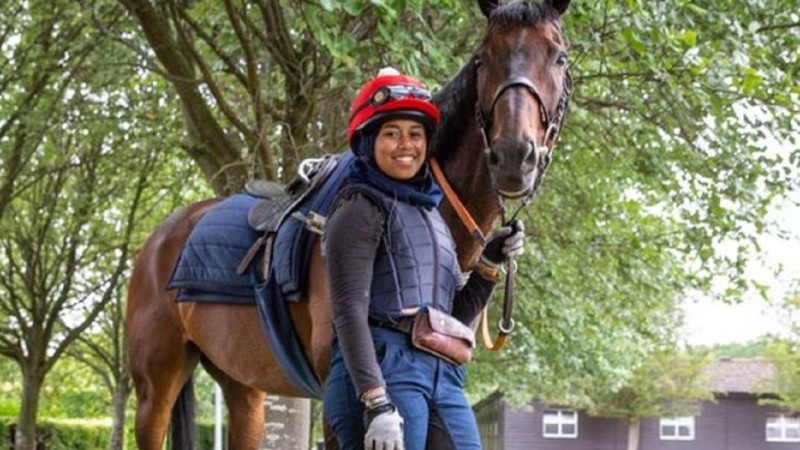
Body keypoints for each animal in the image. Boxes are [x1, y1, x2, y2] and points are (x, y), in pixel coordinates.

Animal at [128, 1, 572, 448]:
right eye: (483, 59)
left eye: (559, 57)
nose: (513, 156)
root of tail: (162, 238)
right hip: (155, 387)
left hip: (242, 387)